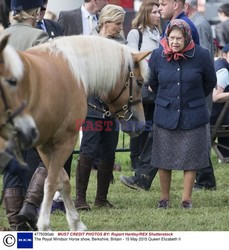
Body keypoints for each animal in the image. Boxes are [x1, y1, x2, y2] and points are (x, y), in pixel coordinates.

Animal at [0, 34, 150, 230]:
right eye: (139, 82)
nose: (140, 124)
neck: (74, 72)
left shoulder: (45, 146)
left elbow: (62, 181)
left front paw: (75, 223)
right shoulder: (66, 140)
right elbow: (52, 182)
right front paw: (45, 225)